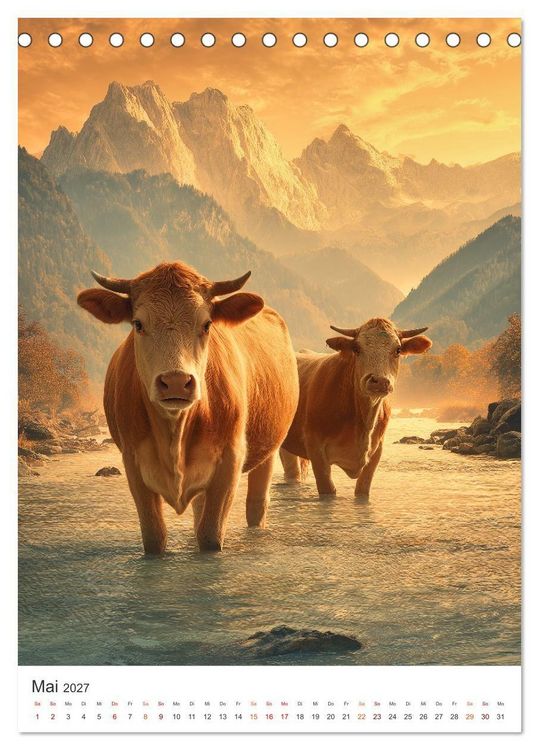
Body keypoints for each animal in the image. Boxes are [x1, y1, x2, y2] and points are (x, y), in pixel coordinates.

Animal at [77, 261, 299, 553]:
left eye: (206, 324)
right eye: (138, 324)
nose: (175, 381)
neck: (175, 432)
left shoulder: (230, 460)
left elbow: (210, 536)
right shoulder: (133, 462)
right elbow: (154, 537)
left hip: (269, 450)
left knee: (256, 505)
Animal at [280, 318, 431, 499]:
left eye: (398, 349)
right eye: (357, 349)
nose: (379, 381)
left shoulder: (376, 451)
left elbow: (363, 489)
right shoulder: (316, 449)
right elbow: (328, 491)